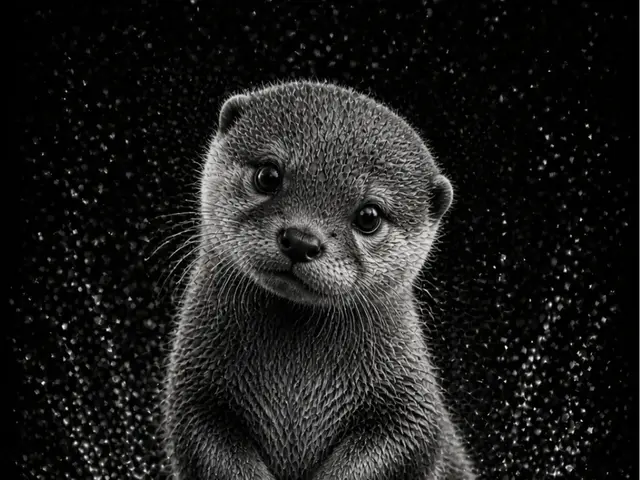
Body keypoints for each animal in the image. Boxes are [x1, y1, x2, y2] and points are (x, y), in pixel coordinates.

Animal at [163, 80, 476, 480]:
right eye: (268, 175)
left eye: (369, 216)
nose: (301, 240)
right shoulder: (193, 394)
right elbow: (206, 445)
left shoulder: (412, 408)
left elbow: (408, 444)